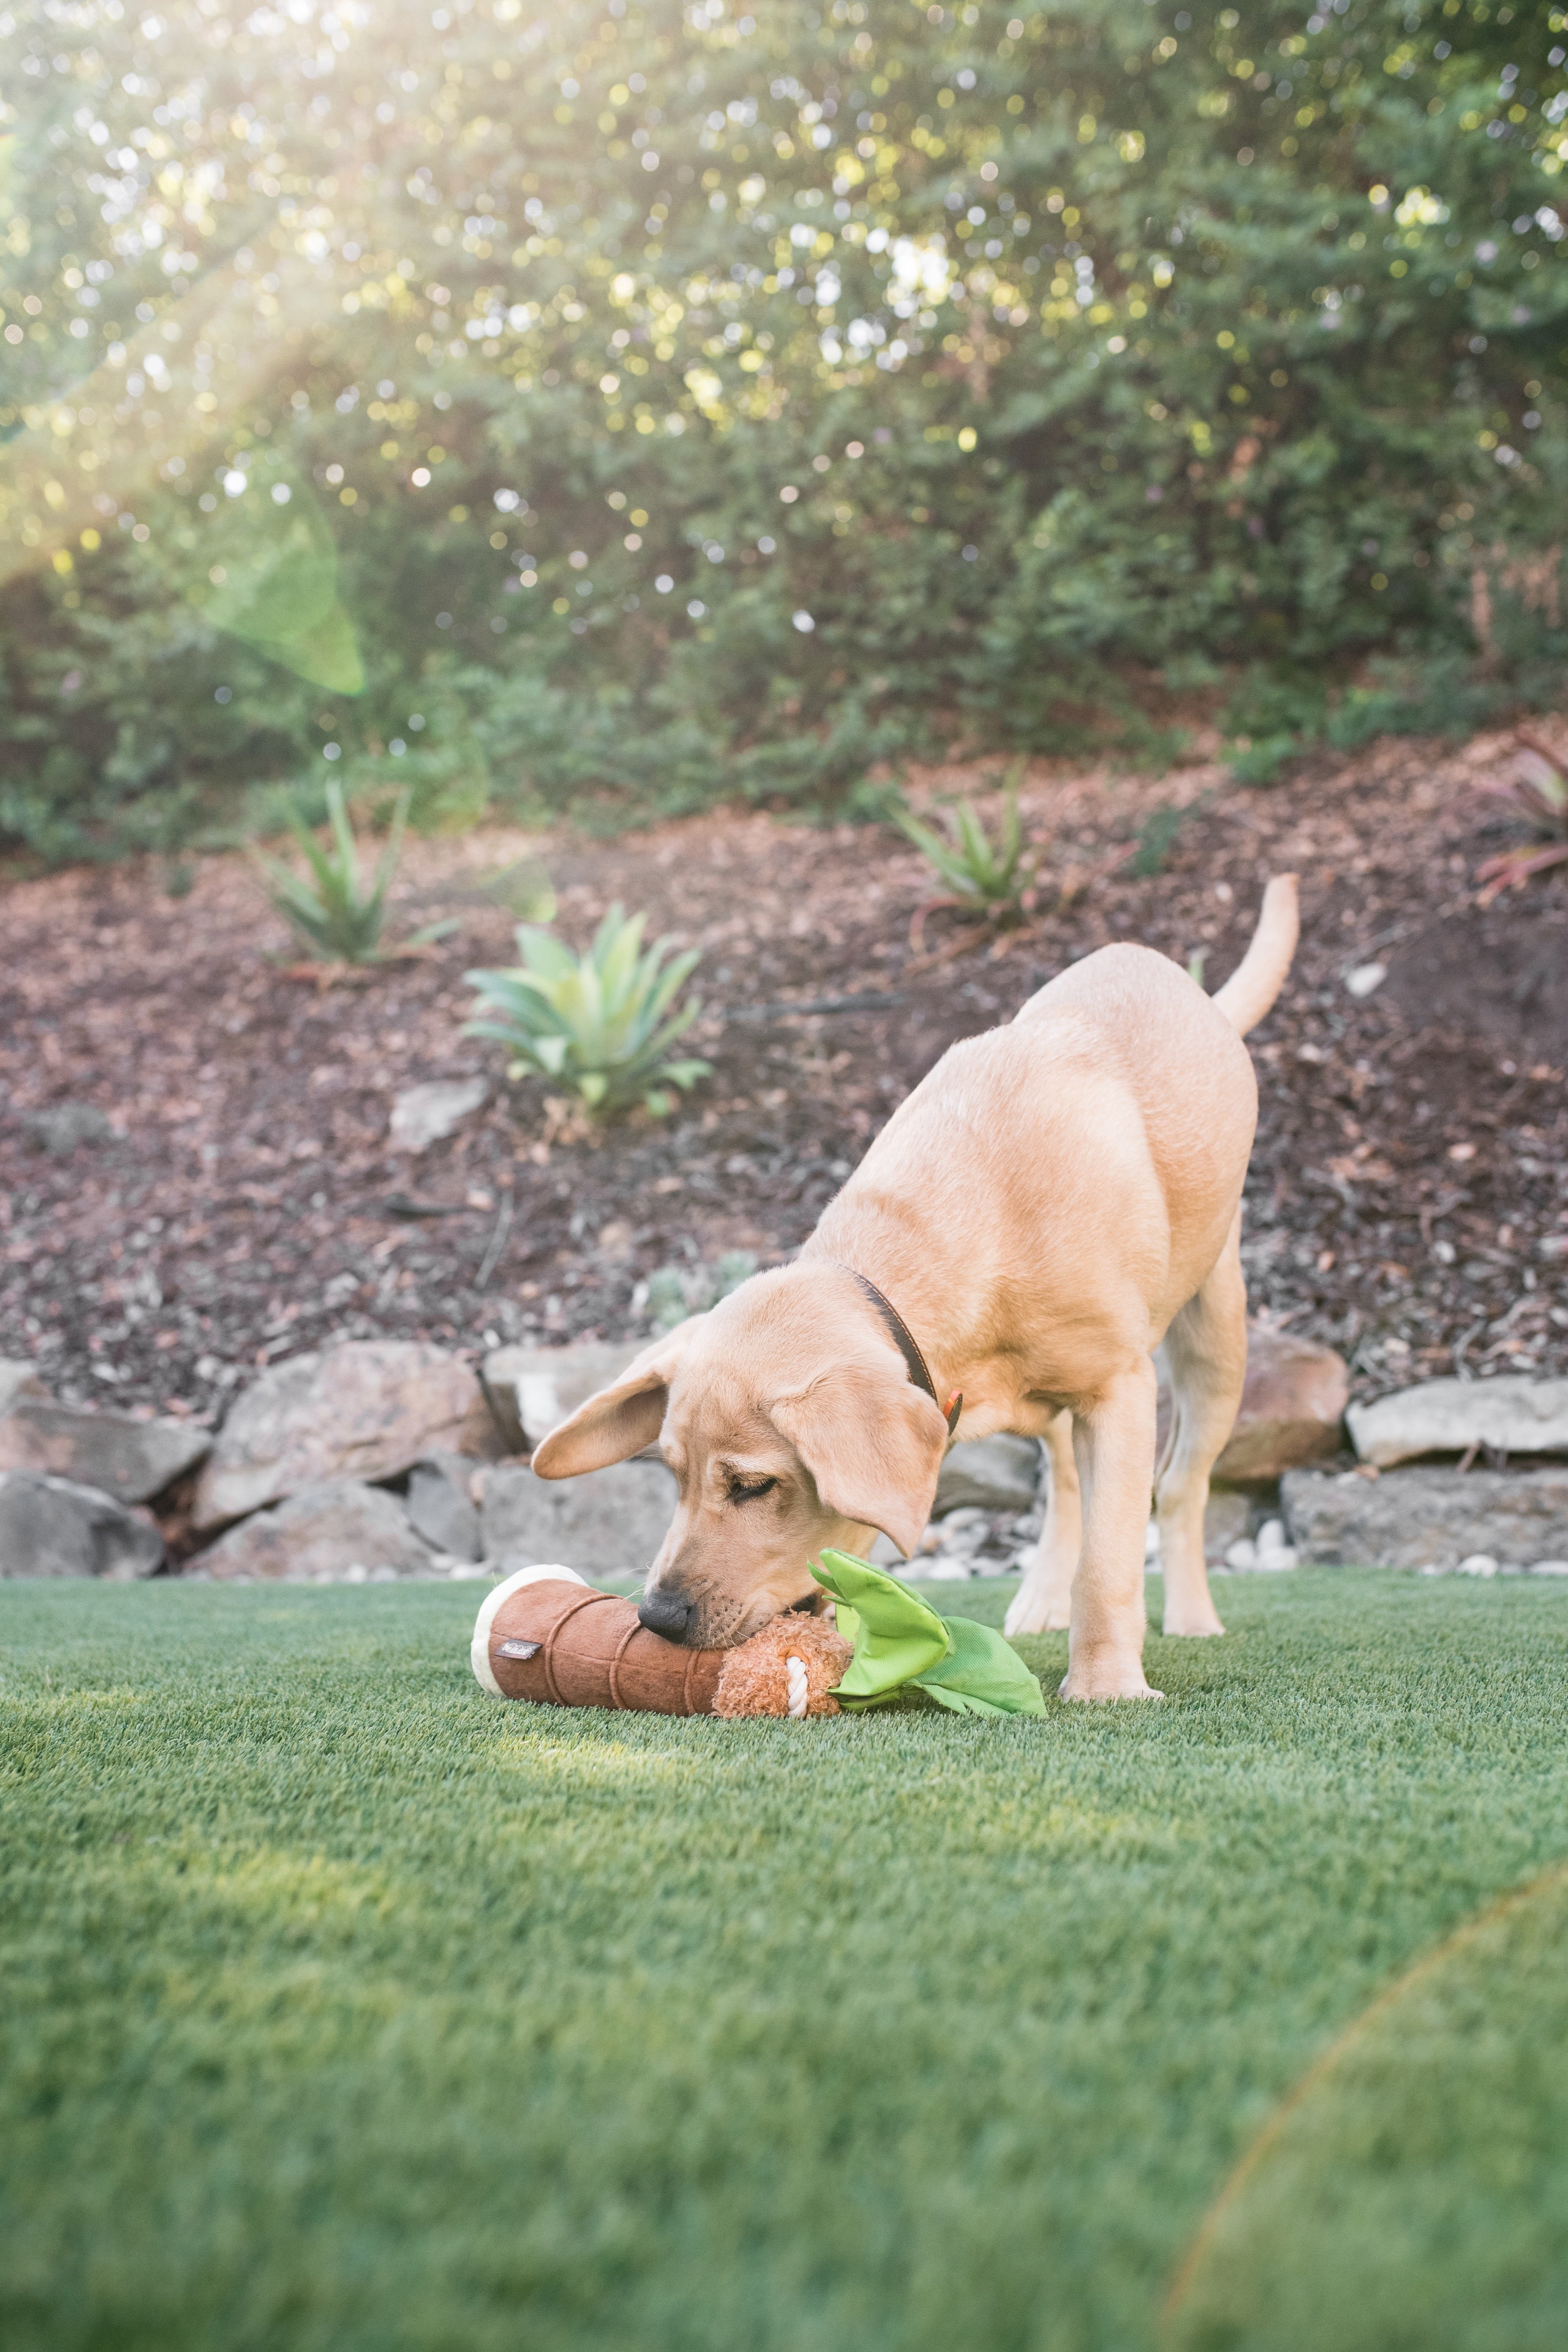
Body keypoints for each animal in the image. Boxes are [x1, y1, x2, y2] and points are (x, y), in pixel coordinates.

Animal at [531, 875, 1297, 1703]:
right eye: (673, 1476)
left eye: (753, 1486)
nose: (658, 1618)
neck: (970, 1221)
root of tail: (1191, 991)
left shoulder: (1120, 1392)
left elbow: (1110, 1559)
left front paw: (1106, 1684)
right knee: (1065, 1484)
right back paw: (1040, 1599)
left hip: (1215, 1339)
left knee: (1182, 1486)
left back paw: (1190, 1616)